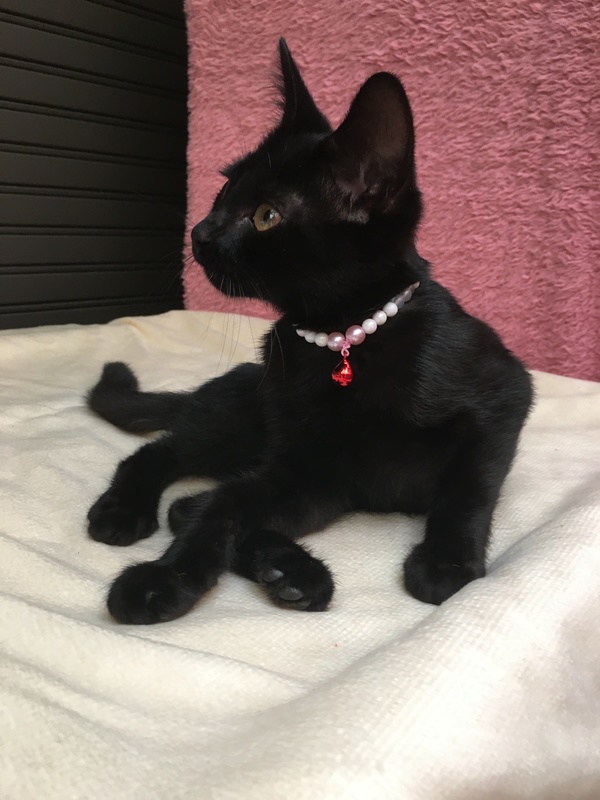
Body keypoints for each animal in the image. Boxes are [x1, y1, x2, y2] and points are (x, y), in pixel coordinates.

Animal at [87, 39, 533, 624]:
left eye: (266, 215)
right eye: (224, 190)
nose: (200, 232)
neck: (343, 341)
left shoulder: (504, 396)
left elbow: (471, 484)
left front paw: (446, 563)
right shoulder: (307, 467)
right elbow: (220, 505)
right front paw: (164, 580)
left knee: (186, 497)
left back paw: (291, 574)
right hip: (240, 423)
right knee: (164, 460)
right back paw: (134, 513)